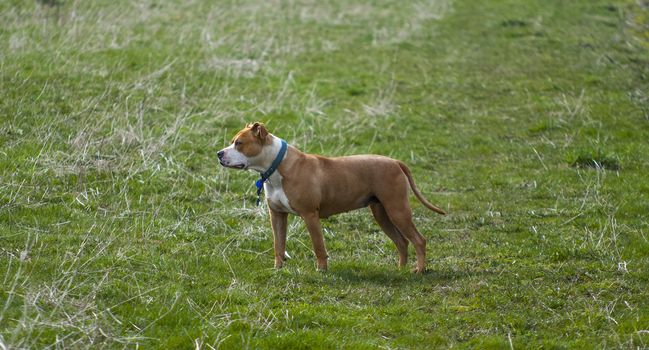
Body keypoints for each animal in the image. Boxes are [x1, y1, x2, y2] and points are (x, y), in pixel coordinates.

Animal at [218, 123, 446, 274]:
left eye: (239, 143)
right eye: (232, 142)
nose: (219, 153)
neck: (277, 166)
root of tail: (396, 162)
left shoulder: (310, 215)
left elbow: (318, 245)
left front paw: (322, 270)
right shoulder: (277, 215)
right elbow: (278, 244)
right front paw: (278, 268)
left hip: (397, 210)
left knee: (419, 240)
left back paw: (418, 270)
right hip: (382, 213)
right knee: (401, 241)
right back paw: (400, 269)